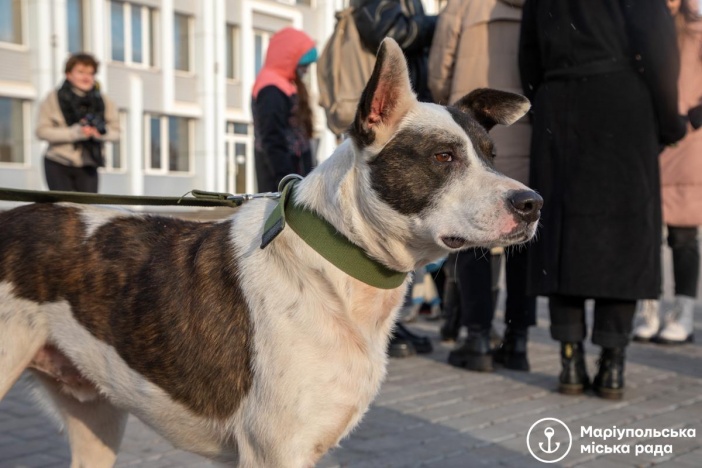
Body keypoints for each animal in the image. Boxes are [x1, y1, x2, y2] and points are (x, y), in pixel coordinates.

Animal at [0, 38, 544, 466]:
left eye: (492, 157)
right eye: (443, 156)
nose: (532, 203)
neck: (338, 266)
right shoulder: (276, 451)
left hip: (96, 420)